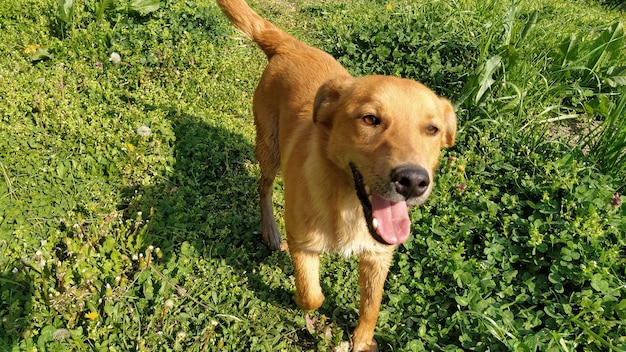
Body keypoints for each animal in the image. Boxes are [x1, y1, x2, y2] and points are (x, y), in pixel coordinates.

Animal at [214, 1, 454, 350]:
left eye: (432, 129)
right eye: (370, 119)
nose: (412, 181)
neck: (348, 205)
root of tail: (291, 46)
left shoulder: (378, 256)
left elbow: (371, 307)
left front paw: (361, 341)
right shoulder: (303, 244)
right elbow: (311, 295)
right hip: (269, 148)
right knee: (263, 187)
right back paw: (270, 231)